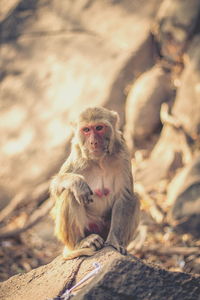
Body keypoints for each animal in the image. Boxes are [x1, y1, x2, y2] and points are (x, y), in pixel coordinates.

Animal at [49, 106, 140, 258]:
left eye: (99, 128)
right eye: (86, 130)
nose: (93, 142)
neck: (100, 161)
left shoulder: (123, 155)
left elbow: (124, 196)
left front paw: (115, 241)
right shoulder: (77, 156)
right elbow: (56, 188)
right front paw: (77, 183)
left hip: (104, 229)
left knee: (135, 198)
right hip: (88, 226)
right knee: (69, 194)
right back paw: (80, 243)